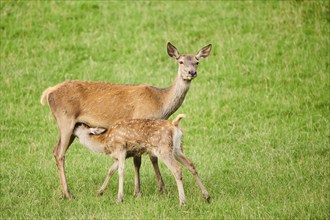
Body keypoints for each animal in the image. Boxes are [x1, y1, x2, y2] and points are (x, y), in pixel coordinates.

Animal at [73, 114, 210, 205]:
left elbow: (121, 171)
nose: (73, 125)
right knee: (191, 164)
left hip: (164, 149)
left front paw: (119, 198)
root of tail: (174, 125)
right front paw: (100, 192)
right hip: (177, 148)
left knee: (177, 169)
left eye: (80, 124)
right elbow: (111, 170)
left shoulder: (121, 149)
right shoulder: (120, 156)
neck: (105, 143)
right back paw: (207, 196)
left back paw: (182, 202)